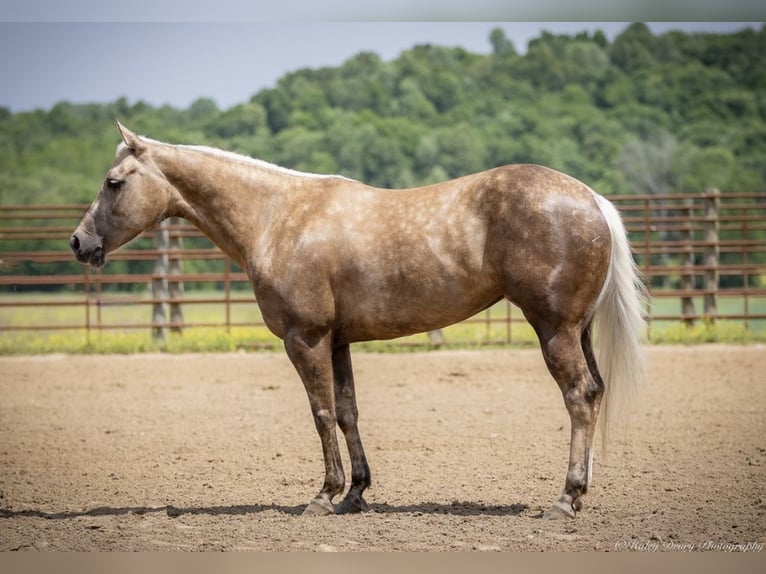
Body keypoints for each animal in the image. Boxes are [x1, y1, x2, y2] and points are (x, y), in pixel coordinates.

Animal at [70, 121, 646, 519]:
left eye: (113, 182)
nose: (79, 242)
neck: (277, 216)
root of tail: (590, 198)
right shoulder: (338, 342)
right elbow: (348, 412)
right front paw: (355, 494)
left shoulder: (305, 339)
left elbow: (321, 413)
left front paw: (323, 496)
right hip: (577, 330)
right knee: (595, 392)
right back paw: (580, 492)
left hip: (554, 330)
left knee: (579, 396)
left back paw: (565, 498)